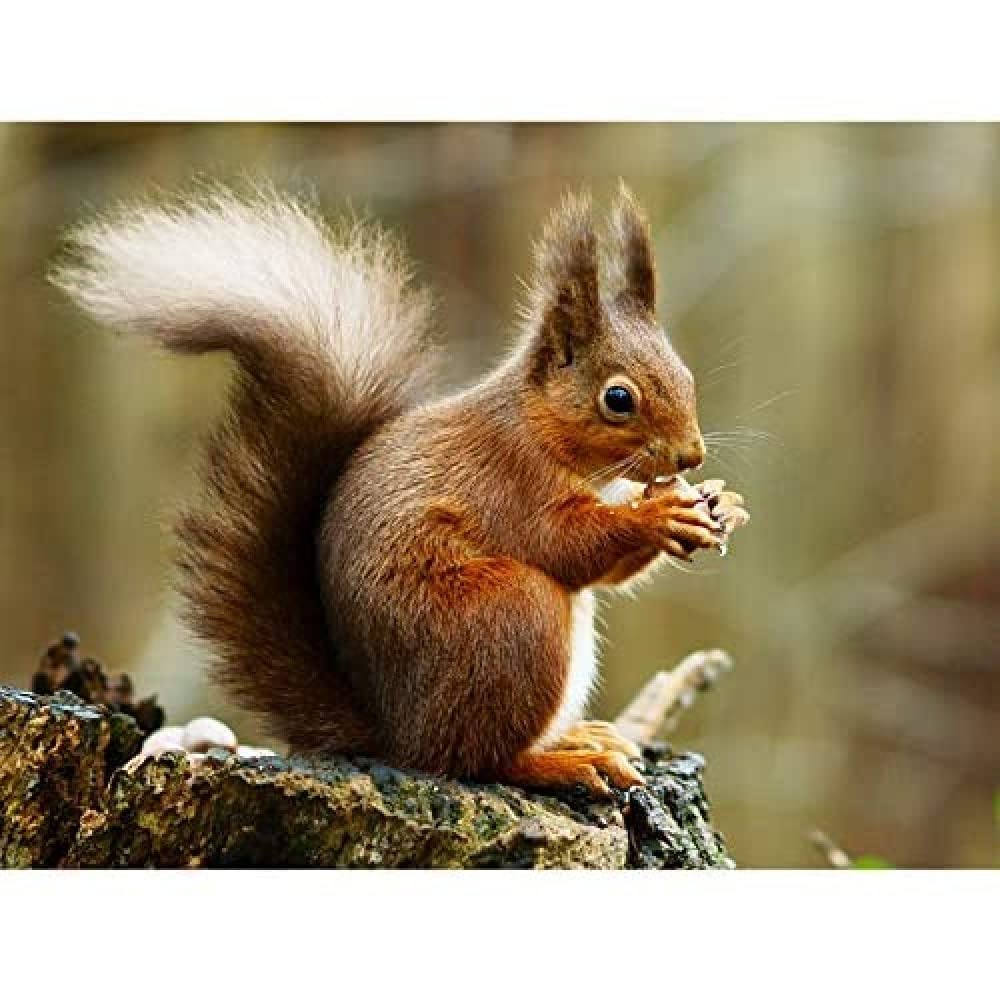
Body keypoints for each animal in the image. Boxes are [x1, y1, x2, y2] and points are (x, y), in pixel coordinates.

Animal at [52, 182, 748, 797]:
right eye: (618, 399)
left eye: (685, 375)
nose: (691, 454)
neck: (541, 429)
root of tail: (396, 735)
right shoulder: (509, 481)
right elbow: (566, 544)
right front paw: (661, 513)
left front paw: (720, 502)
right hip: (509, 616)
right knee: (475, 760)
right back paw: (560, 762)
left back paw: (579, 737)